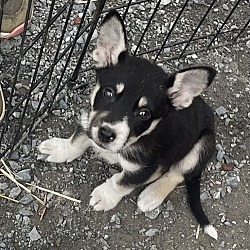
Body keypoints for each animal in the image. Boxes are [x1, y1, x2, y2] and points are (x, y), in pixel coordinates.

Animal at [38, 10, 218, 240]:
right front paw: (61, 149)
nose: (106, 134)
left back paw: (151, 195)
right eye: (108, 93)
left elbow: (122, 182)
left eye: (144, 113)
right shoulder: (90, 120)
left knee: (177, 173)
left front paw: (105, 196)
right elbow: (77, 139)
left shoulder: (145, 168)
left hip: (202, 145)